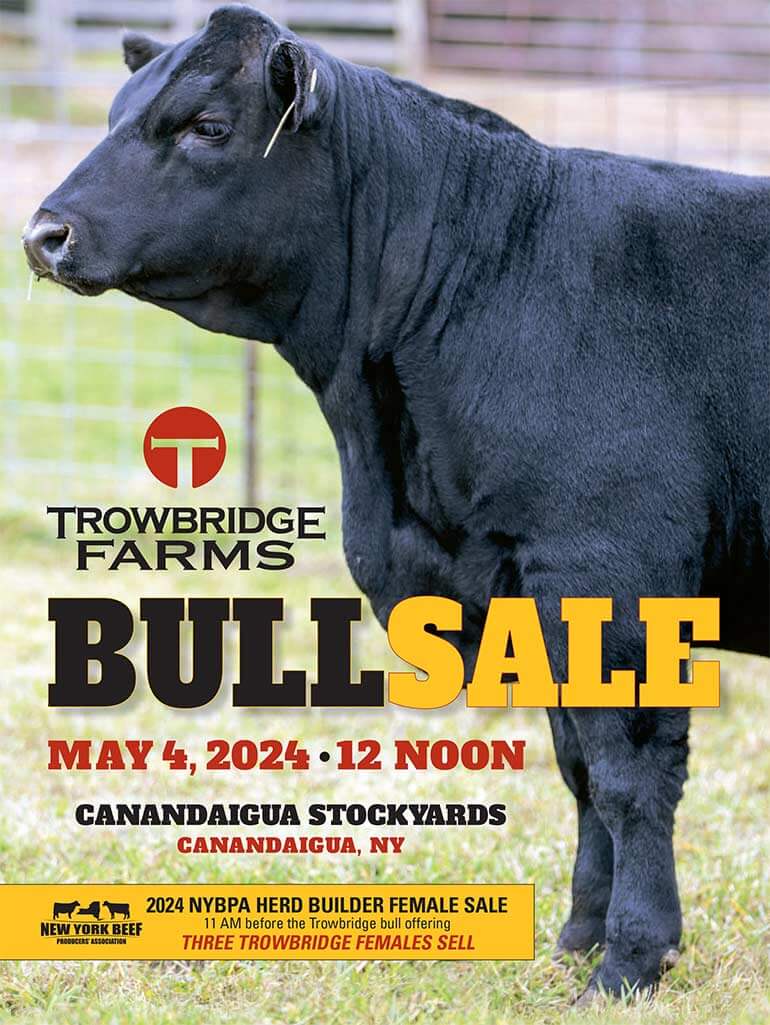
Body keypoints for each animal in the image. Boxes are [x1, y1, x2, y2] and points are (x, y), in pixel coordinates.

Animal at [22, 4, 769, 1004]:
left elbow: (628, 772)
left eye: (207, 126)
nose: (44, 232)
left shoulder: (608, 566)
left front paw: (631, 960)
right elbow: (576, 764)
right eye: (114, 114)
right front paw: (577, 937)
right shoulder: (521, 581)